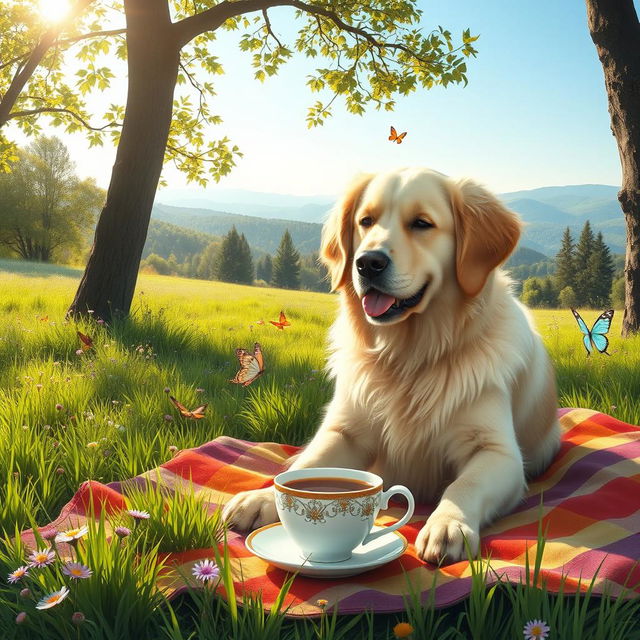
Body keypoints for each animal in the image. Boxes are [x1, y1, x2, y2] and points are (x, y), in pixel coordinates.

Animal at [224, 169, 560, 560]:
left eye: (422, 223)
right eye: (365, 221)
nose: (367, 262)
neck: (407, 356)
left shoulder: (497, 452)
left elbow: (465, 484)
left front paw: (448, 524)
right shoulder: (345, 432)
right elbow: (305, 465)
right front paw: (262, 498)